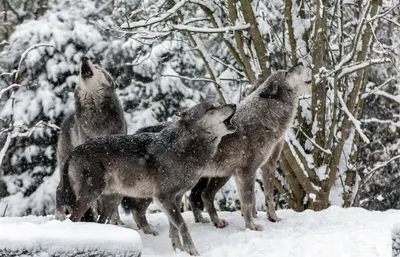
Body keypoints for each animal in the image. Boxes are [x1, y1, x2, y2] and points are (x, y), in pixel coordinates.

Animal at [54, 57, 126, 222]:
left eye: (98, 66)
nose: (84, 57)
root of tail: (66, 119)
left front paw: (116, 220)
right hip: (65, 165)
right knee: (59, 188)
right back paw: (59, 215)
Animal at [57, 100, 236, 254]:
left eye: (219, 103)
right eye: (211, 108)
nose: (234, 104)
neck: (182, 149)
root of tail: (74, 151)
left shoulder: (176, 197)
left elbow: (174, 228)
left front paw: (178, 249)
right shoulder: (164, 198)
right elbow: (182, 224)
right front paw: (191, 250)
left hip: (113, 199)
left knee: (102, 221)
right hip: (91, 193)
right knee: (72, 214)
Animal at [127, 63, 310, 230]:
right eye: (286, 72)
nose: (300, 62)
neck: (266, 116)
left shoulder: (253, 170)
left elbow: (259, 198)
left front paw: (267, 218)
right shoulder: (251, 169)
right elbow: (251, 201)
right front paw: (253, 225)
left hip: (215, 176)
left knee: (201, 196)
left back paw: (210, 221)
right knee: (139, 209)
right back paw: (148, 231)